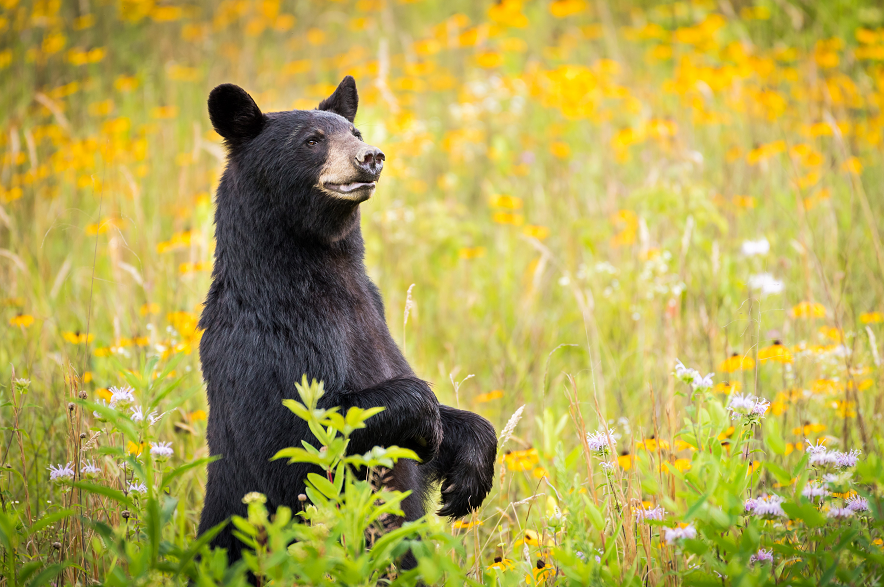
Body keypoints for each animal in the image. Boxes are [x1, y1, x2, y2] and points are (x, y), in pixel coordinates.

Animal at [196, 76, 498, 569]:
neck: (324, 277)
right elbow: (299, 433)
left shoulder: (373, 316)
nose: (371, 156)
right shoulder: (266, 345)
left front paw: (469, 472)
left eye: (354, 133)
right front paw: (426, 418)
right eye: (312, 140)